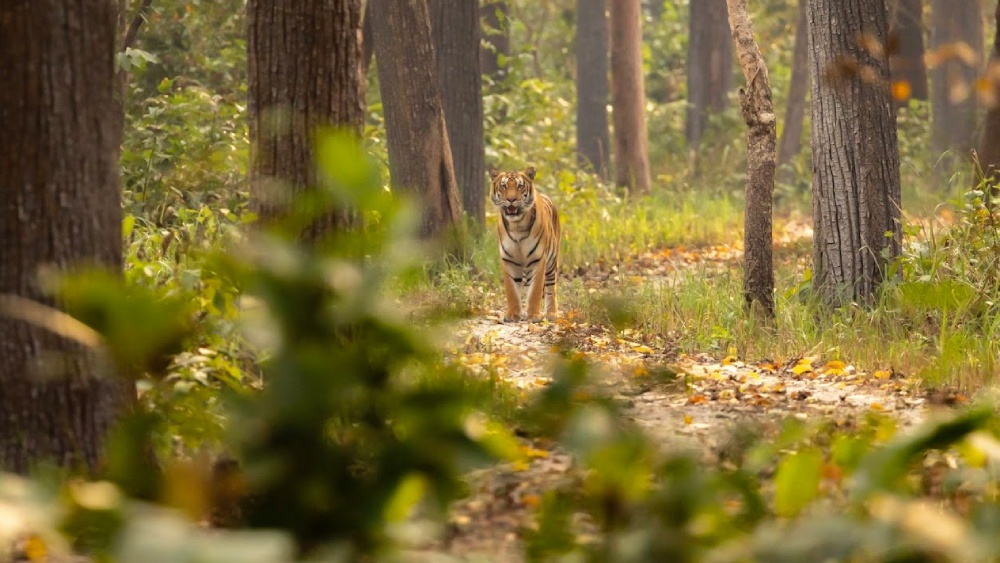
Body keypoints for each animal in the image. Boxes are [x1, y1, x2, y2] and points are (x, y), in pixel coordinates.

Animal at [490, 166, 564, 322]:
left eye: (520, 186)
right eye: (504, 186)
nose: (511, 199)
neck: (517, 224)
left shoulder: (538, 260)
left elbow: (535, 290)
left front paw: (534, 315)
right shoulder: (509, 260)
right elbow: (512, 291)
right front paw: (512, 315)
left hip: (552, 262)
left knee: (550, 287)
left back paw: (551, 313)